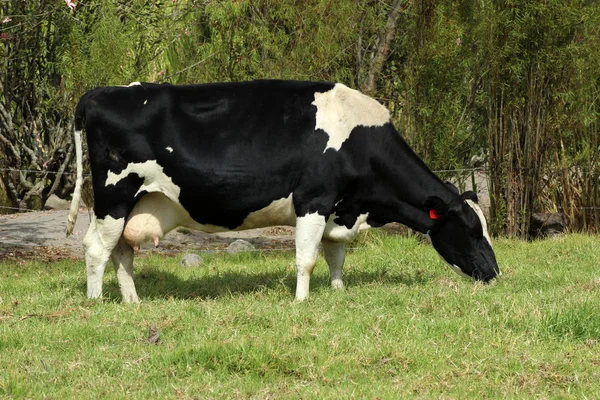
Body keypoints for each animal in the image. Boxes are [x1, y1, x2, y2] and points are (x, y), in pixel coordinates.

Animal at [65, 79, 500, 302]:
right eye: (472, 231)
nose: (495, 274)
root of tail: (102, 92)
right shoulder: (313, 200)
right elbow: (307, 259)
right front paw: (301, 302)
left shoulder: (338, 208)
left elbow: (336, 256)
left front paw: (338, 292)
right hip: (113, 195)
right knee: (96, 248)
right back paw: (96, 302)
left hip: (135, 204)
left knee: (122, 251)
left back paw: (132, 302)